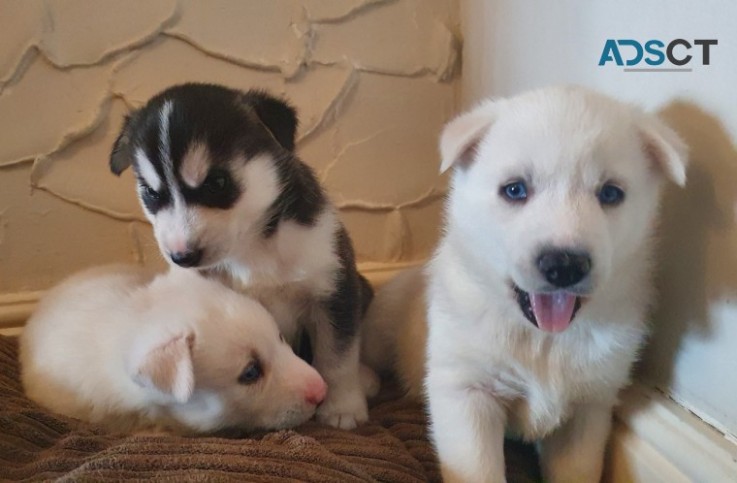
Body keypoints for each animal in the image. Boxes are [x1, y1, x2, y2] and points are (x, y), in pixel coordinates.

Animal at [110, 84, 374, 432]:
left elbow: (337, 356)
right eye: (152, 194)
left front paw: (342, 408)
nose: (182, 256)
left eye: (217, 183)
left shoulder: (333, 289)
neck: (252, 248)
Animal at [366, 85, 688, 482]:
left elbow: (577, 470)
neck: (542, 341)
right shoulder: (467, 392)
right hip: (383, 323)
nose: (564, 265)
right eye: (515, 190)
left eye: (611, 193)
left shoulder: (589, 409)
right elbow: (479, 470)